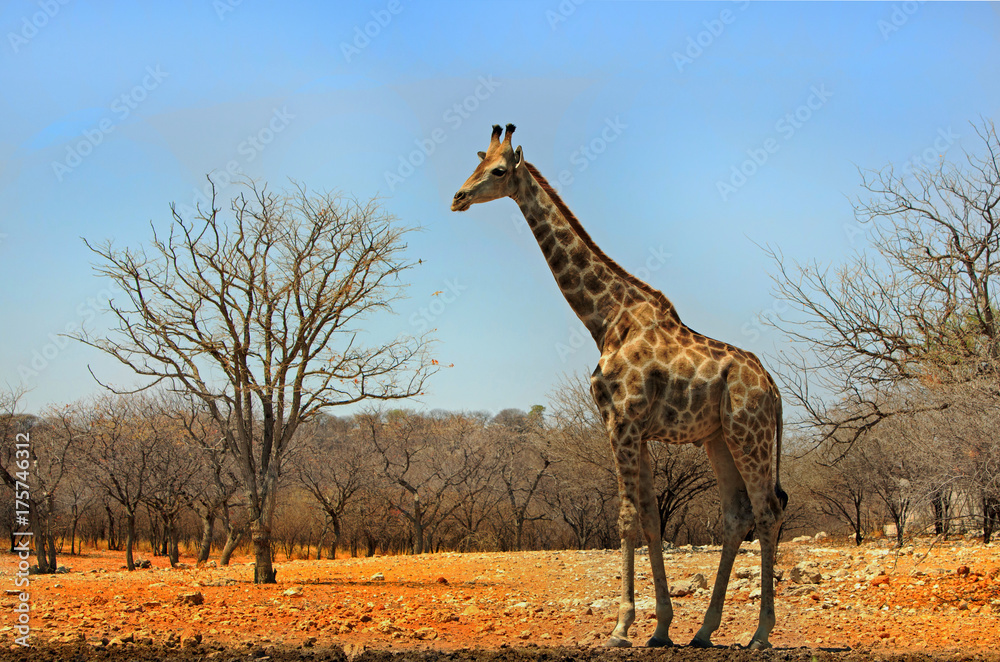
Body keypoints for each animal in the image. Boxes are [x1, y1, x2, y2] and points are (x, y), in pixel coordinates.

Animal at [451, 124, 788, 649]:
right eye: (477, 162)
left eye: (499, 170)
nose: (458, 197)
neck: (605, 318)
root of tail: (772, 387)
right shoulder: (630, 427)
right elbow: (649, 517)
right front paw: (662, 628)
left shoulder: (623, 421)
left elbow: (628, 517)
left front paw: (622, 625)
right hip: (717, 439)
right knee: (737, 515)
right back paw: (704, 631)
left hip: (748, 434)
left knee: (767, 511)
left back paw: (759, 634)